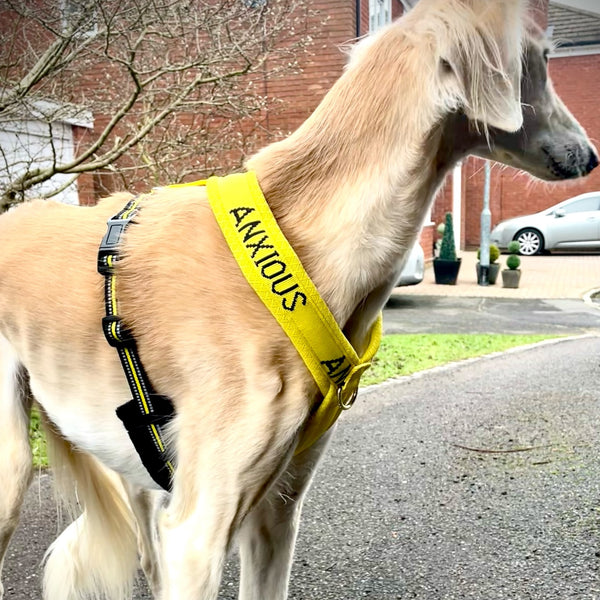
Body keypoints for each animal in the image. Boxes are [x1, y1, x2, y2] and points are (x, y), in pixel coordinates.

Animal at [0, 1, 596, 600]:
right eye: (544, 61)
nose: (590, 156)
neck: (302, 248)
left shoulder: (277, 509)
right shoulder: (197, 535)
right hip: (13, 472)